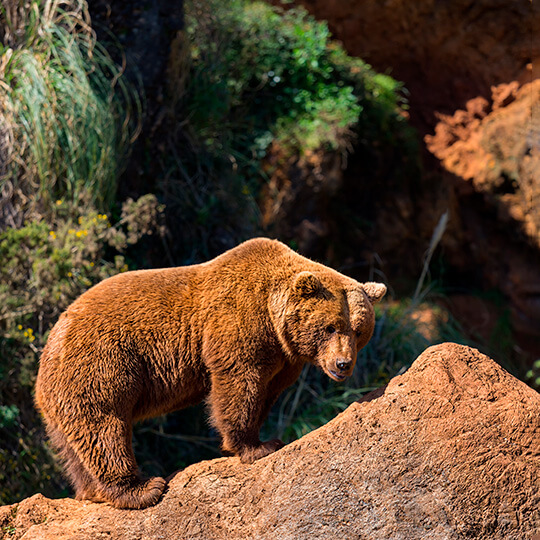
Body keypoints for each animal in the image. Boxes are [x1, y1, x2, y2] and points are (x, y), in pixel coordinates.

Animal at [34, 236, 384, 506]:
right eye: (330, 327)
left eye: (359, 330)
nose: (343, 364)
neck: (274, 321)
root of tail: (50, 343)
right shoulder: (237, 322)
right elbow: (238, 384)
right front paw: (256, 446)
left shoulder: (284, 359)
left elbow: (266, 393)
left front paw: (262, 437)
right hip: (101, 364)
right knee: (105, 426)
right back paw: (143, 488)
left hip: (61, 398)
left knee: (73, 444)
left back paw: (90, 490)